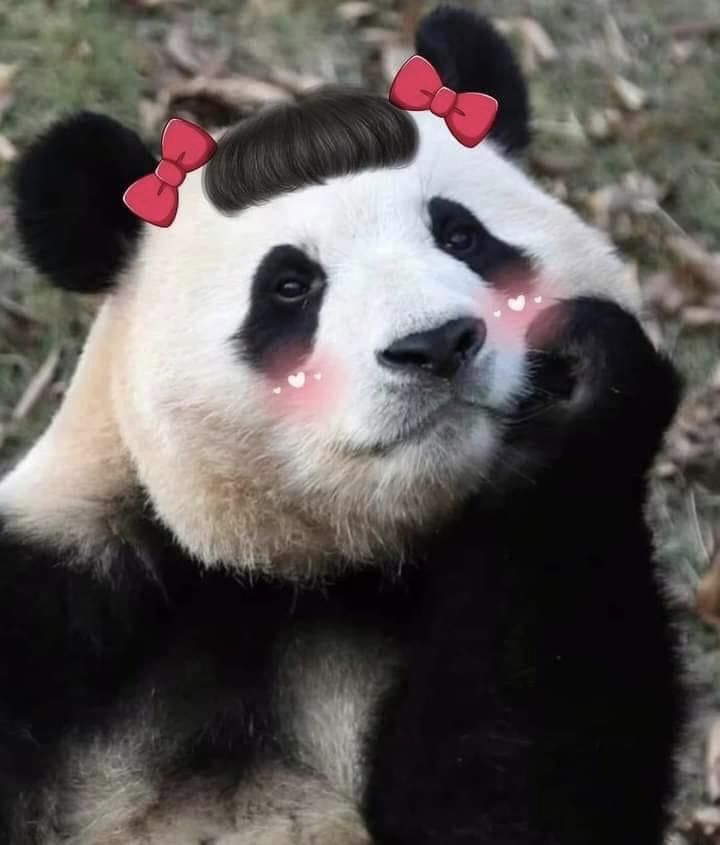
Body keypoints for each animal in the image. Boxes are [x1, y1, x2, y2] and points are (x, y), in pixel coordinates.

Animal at [0, 5, 685, 845]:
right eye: (291, 285)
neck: (285, 575)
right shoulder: (65, 603)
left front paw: (585, 386)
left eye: (460, 236)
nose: (436, 345)